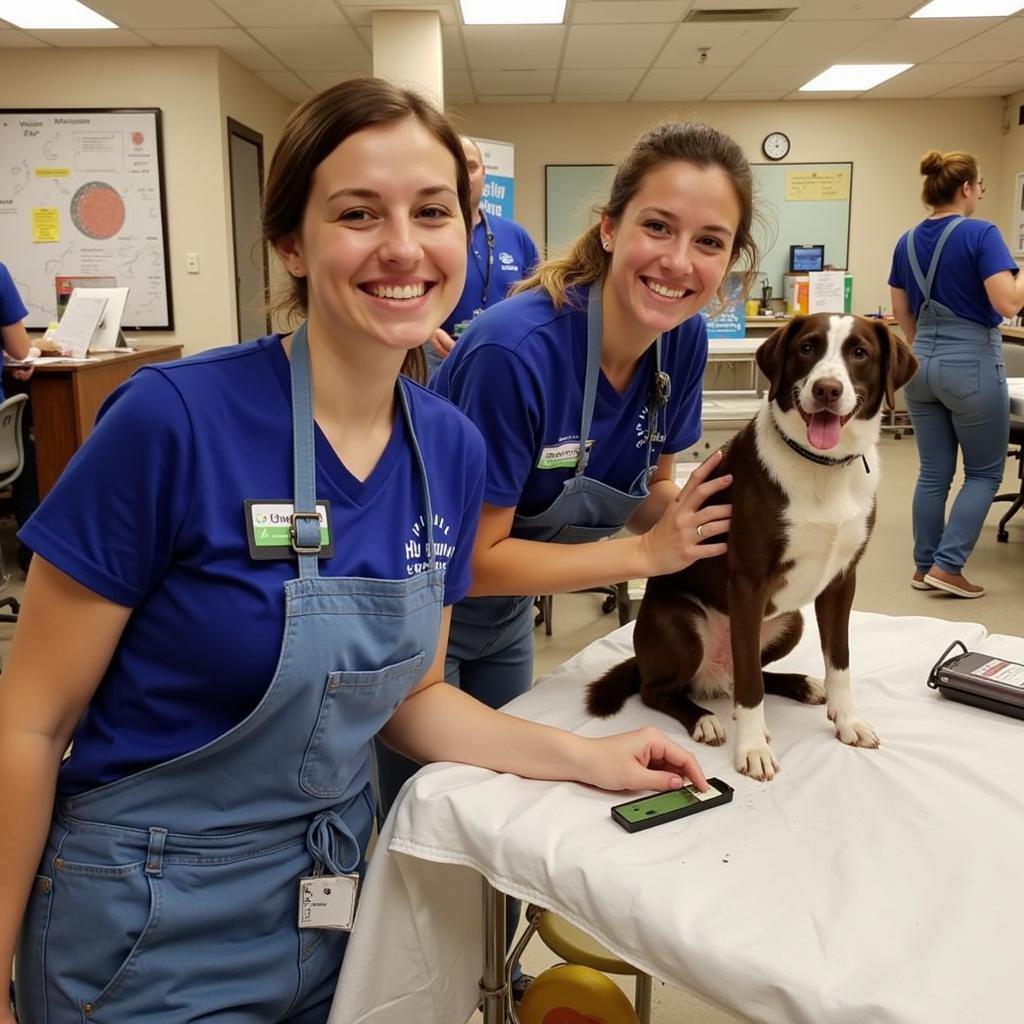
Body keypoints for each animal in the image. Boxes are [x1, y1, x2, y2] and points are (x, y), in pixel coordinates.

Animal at [589, 315, 917, 778]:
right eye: (807, 348)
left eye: (860, 353)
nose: (827, 390)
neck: (821, 467)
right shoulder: (747, 583)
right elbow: (749, 684)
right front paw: (752, 748)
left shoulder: (841, 581)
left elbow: (840, 659)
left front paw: (848, 720)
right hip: (681, 623)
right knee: (665, 689)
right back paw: (705, 720)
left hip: (789, 622)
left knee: (749, 672)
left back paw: (801, 684)